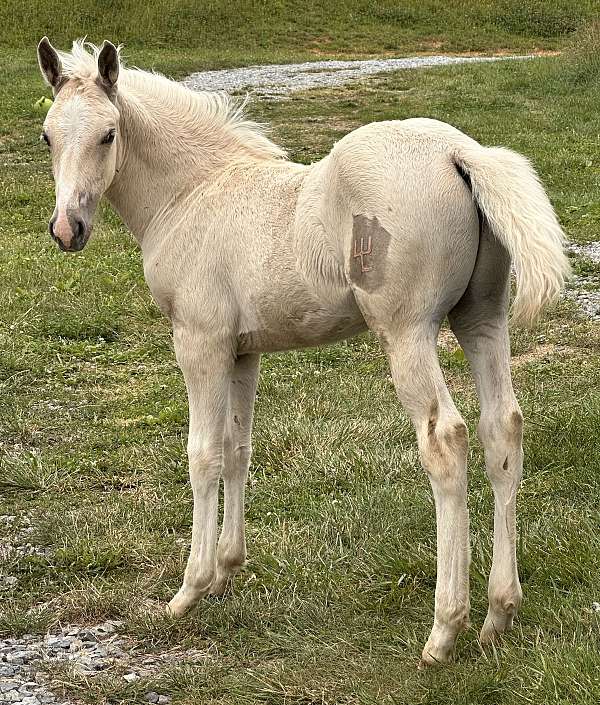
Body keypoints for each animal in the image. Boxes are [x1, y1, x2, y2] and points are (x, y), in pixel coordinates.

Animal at [36, 38, 570, 665]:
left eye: (109, 134)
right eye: (47, 136)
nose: (67, 228)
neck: (192, 193)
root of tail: (459, 152)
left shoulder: (200, 342)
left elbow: (202, 455)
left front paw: (189, 590)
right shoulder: (243, 352)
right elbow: (237, 450)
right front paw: (226, 571)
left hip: (408, 330)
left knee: (446, 441)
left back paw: (444, 631)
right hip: (481, 319)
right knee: (501, 429)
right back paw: (498, 615)